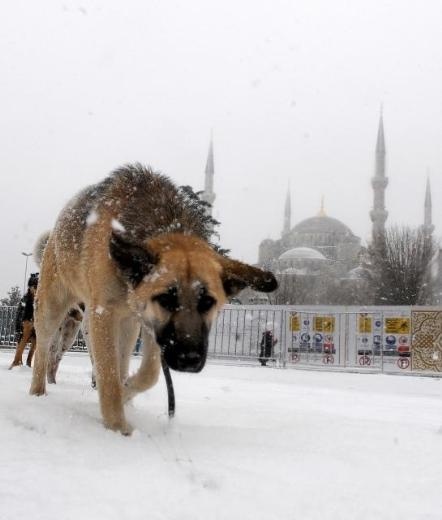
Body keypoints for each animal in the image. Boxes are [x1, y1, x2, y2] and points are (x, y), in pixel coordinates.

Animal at [29, 165, 276, 432]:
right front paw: (117, 426)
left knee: (120, 359)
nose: (189, 360)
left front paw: (126, 392)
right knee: (43, 350)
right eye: (166, 299)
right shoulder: (105, 313)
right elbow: (109, 373)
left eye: (208, 302)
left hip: (125, 326)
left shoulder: (148, 324)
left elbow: (149, 373)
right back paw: (38, 393)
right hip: (52, 310)